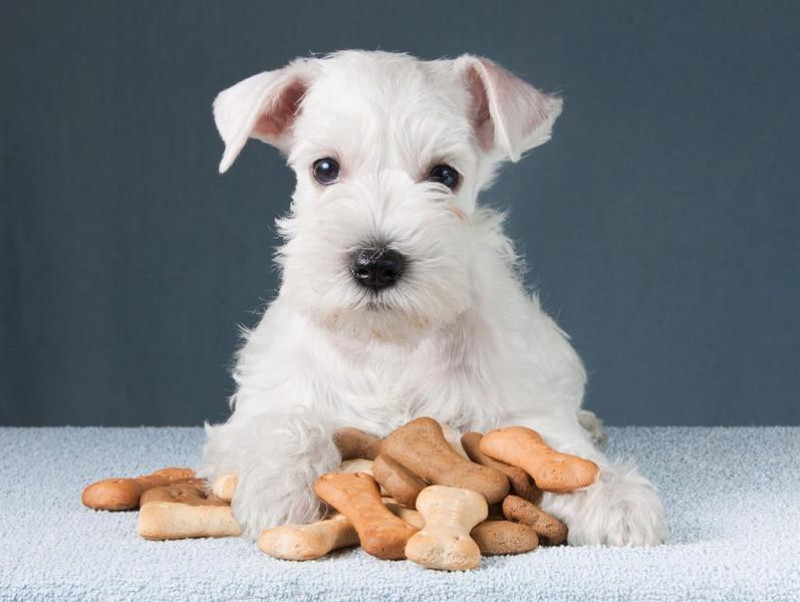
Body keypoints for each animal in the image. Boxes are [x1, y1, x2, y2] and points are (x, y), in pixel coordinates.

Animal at [200, 50, 668, 544]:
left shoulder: (519, 407)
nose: (376, 264)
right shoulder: (256, 411)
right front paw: (281, 487)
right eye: (324, 168)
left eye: (445, 175)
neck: (389, 345)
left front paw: (615, 497)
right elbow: (286, 422)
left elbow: (554, 444)